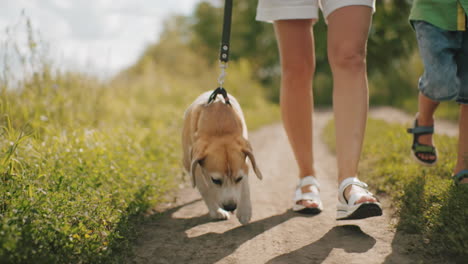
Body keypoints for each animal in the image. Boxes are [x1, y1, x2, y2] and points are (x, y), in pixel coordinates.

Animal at [181, 91, 262, 225]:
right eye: (216, 180)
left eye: (238, 178)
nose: (231, 207)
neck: (219, 128)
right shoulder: (194, 166)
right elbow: (205, 190)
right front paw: (217, 211)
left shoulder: (244, 160)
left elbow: (245, 186)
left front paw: (245, 210)